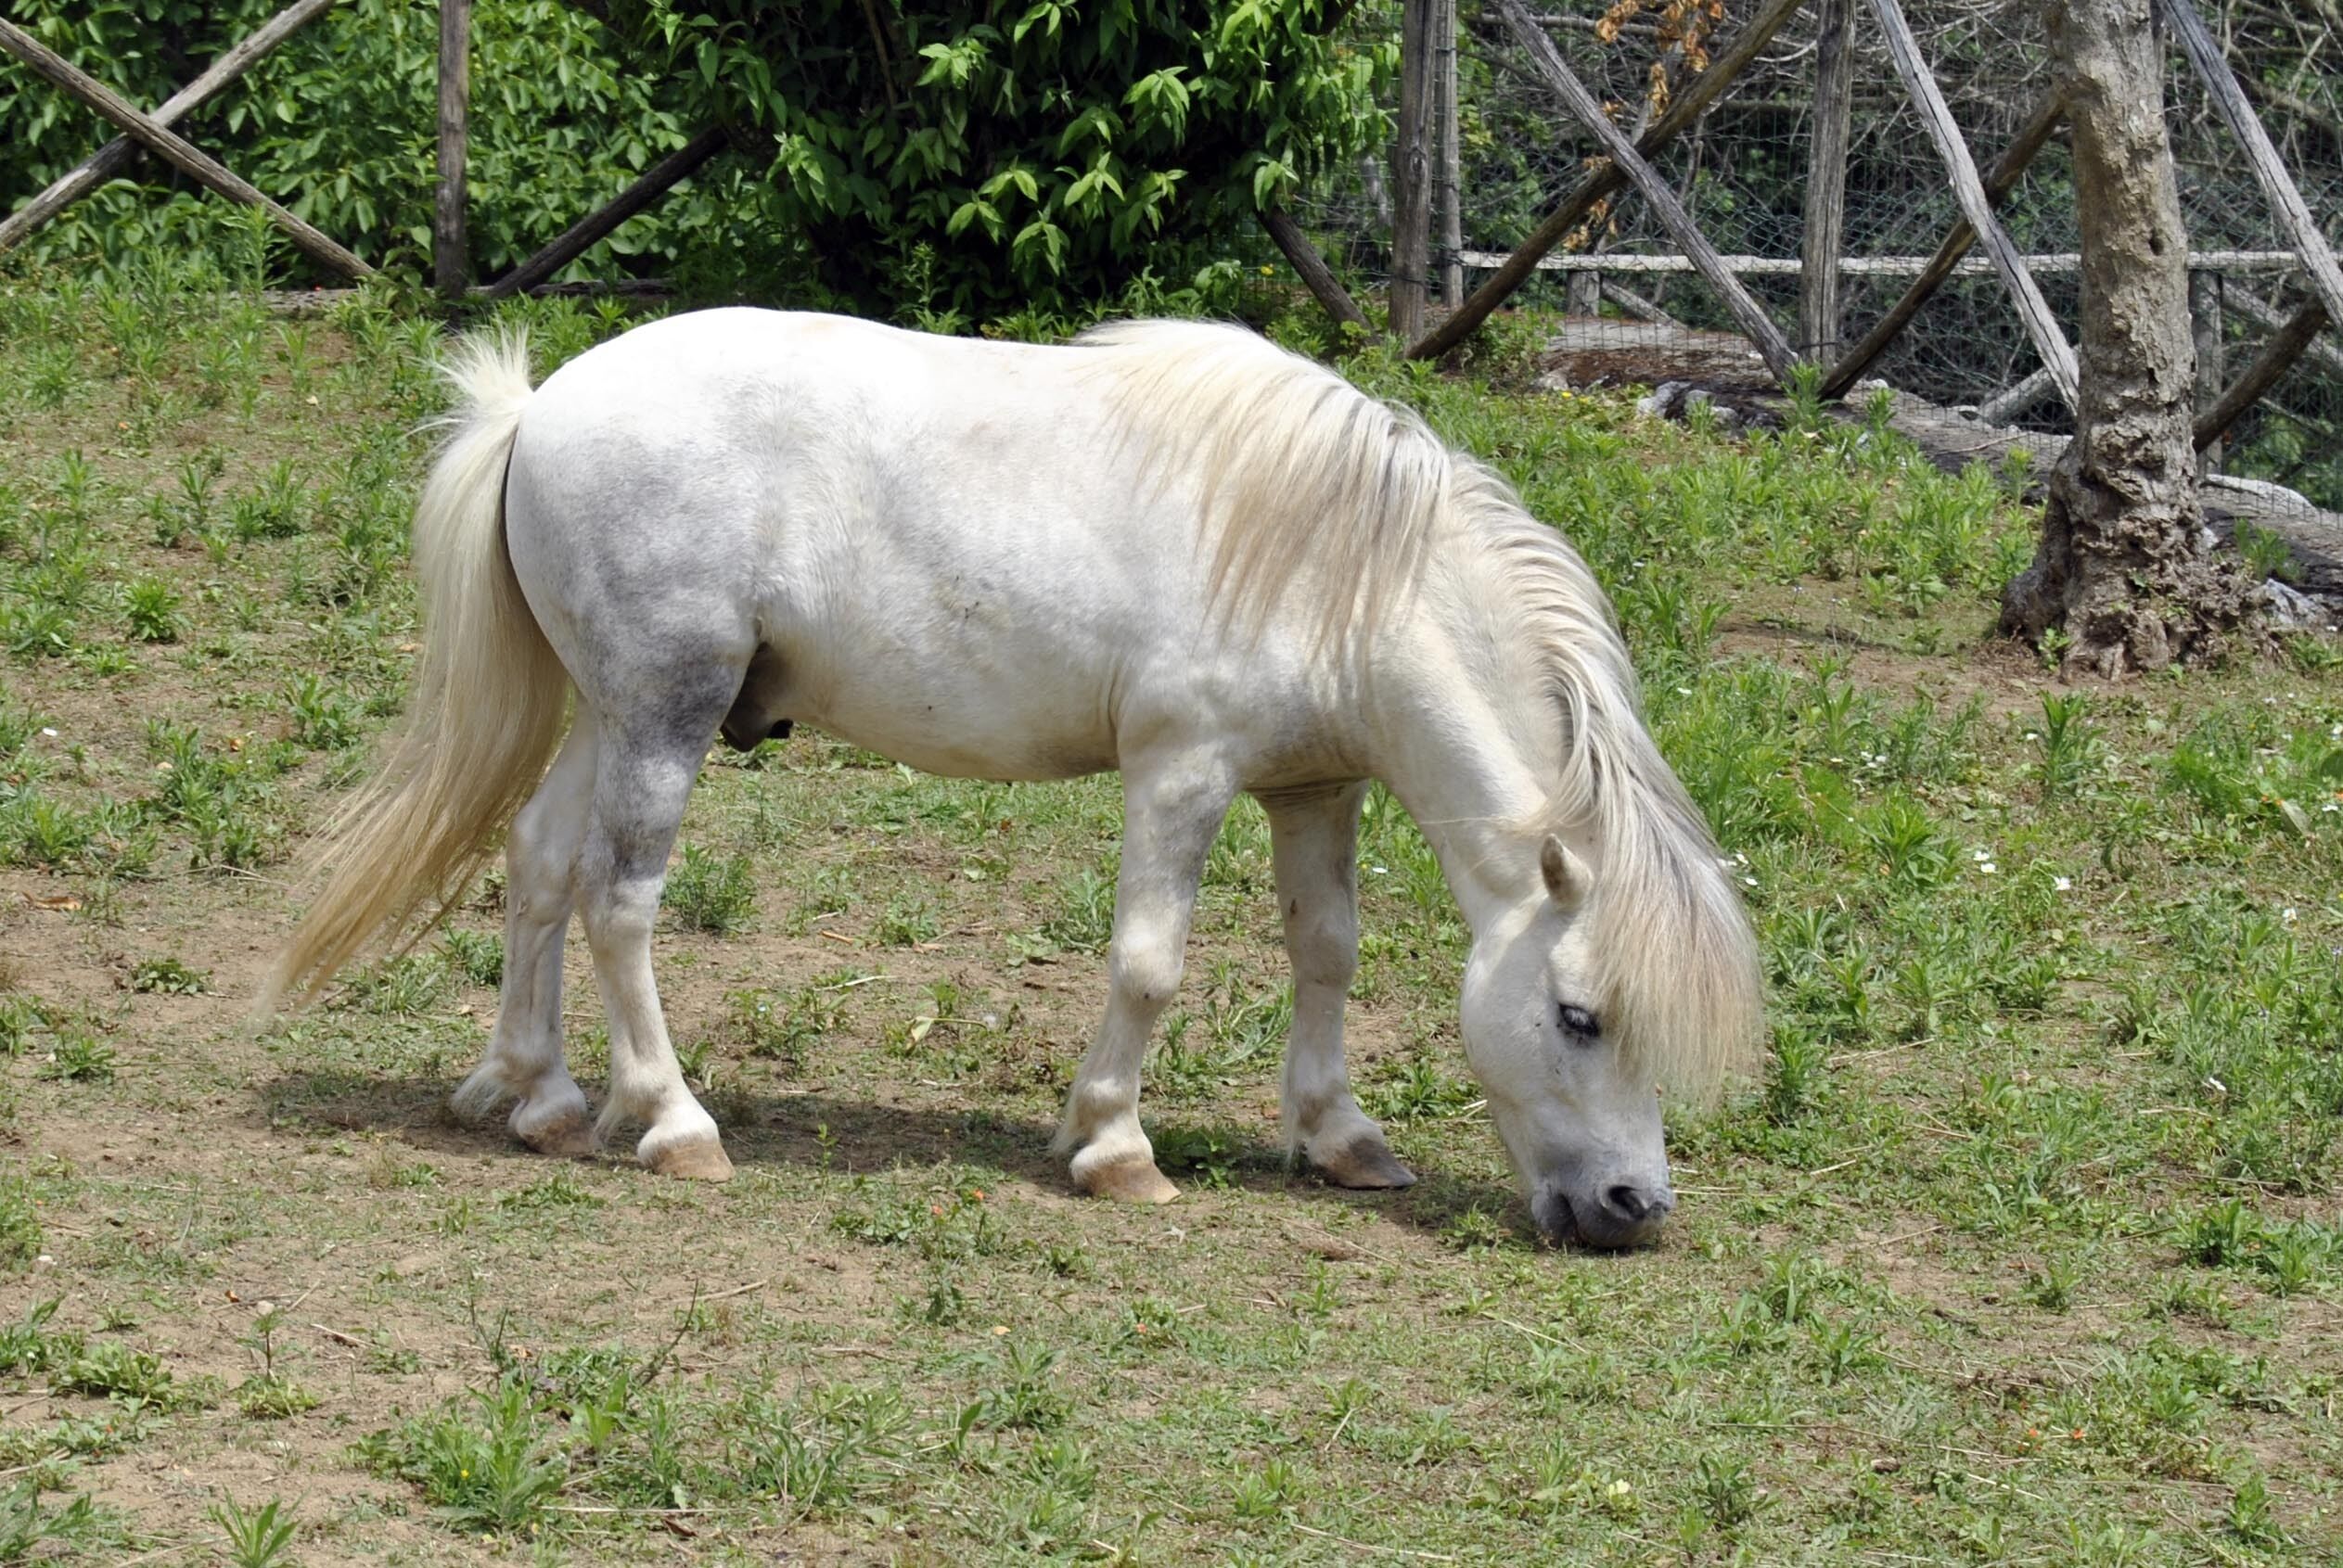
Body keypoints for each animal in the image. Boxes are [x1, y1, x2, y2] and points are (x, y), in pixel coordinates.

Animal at [265, 309, 1761, 1249]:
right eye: (1578, 1014)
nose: (1634, 1210)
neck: (1337, 568)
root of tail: (536, 409)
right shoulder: (1181, 774)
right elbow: (1150, 963)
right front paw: (1114, 1146)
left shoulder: (1313, 788)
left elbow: (1325, 950)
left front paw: (1337, 1134)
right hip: (663, 714)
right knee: (618, 899)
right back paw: (672, 1121)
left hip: (611, 709)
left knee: (534, 861)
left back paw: (537, 1094)